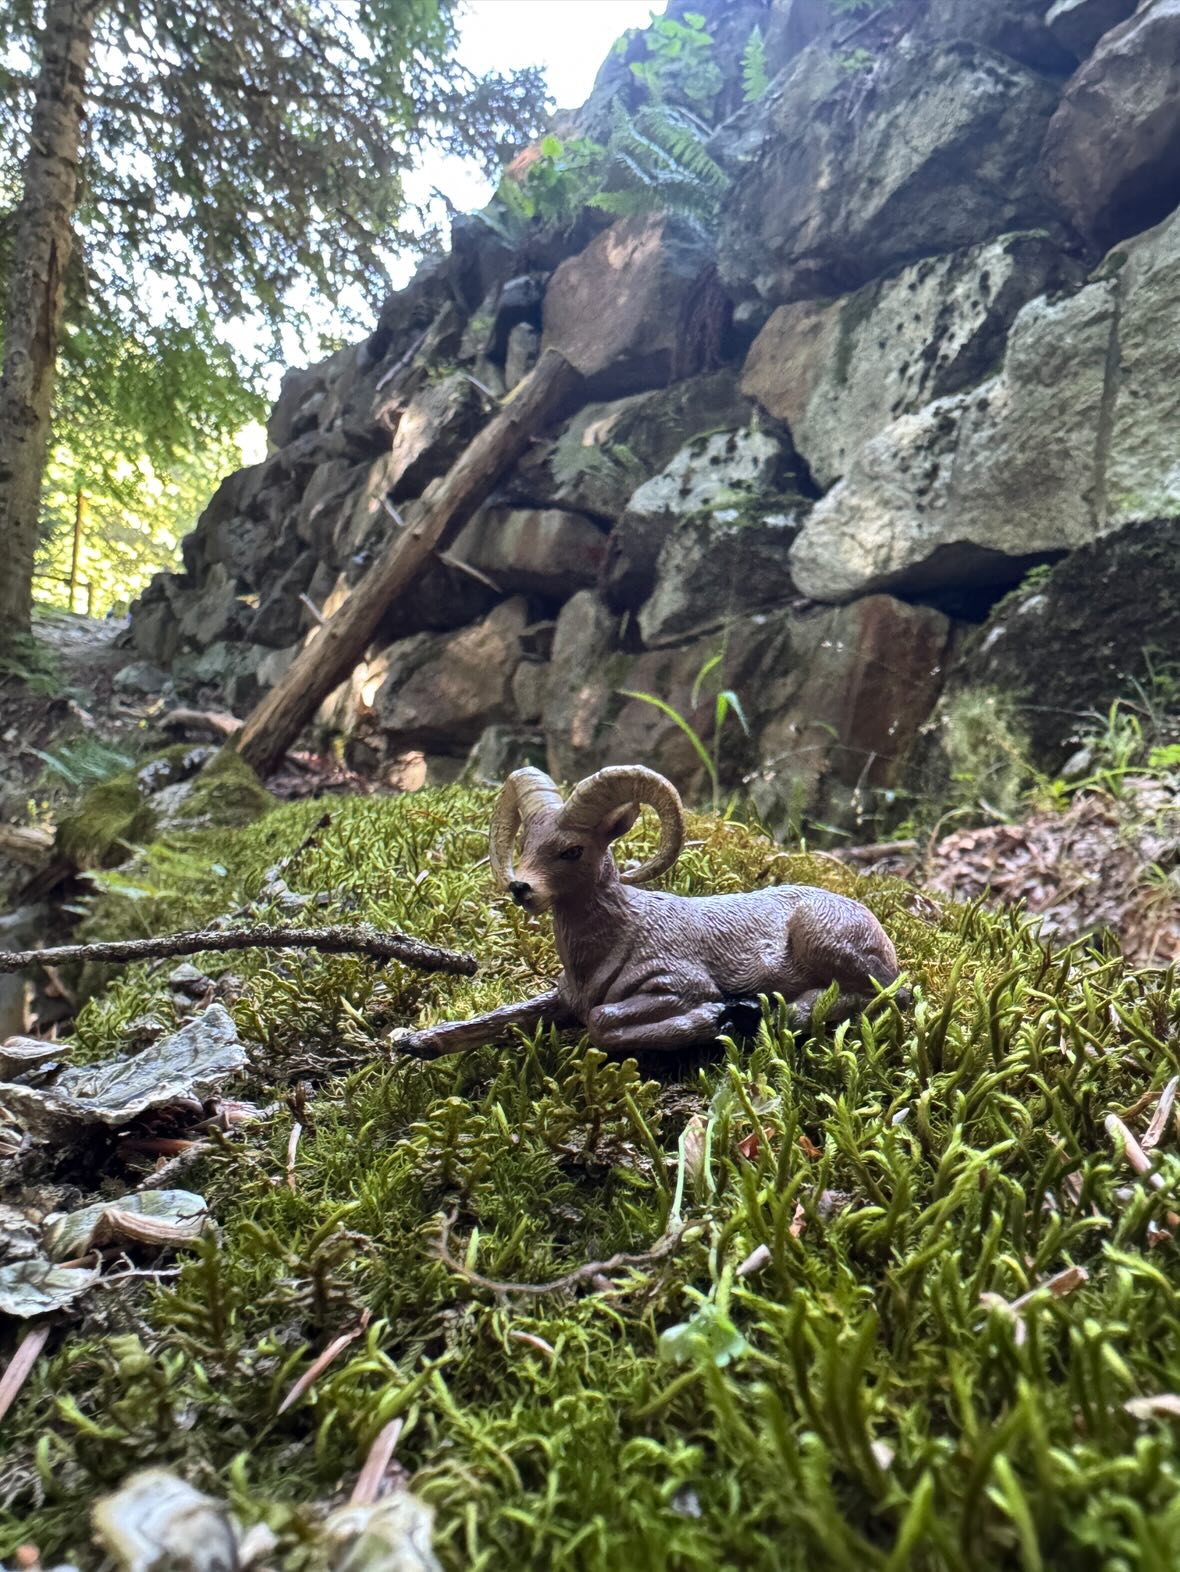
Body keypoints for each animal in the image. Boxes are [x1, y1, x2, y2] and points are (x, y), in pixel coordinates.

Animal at [391, 765, 904, 1058]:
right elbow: (496, 1018)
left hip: (822, 940)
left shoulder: (678, 985)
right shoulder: (562, 998)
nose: (522, 888)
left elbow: (602, 1023)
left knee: (885, 994)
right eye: (526, 843)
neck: (616, 938)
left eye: (572, 850)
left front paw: (718, 1017)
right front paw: (414, 1042)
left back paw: (762, 1012)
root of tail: (871, 922)